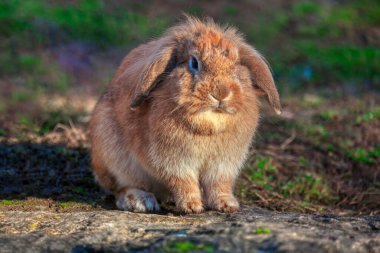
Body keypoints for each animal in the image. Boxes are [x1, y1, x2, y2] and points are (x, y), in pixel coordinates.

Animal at [88, 15, 280, 213]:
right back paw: (140, 201)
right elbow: (183, 183)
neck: (210, 122)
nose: (221, 93)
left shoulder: (223, 165)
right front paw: (192, 206)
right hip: (112, 155)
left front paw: (228, 205)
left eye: (235, 63)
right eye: (194, 63)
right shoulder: (174, 162)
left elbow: (219, 185)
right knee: (120, 188)